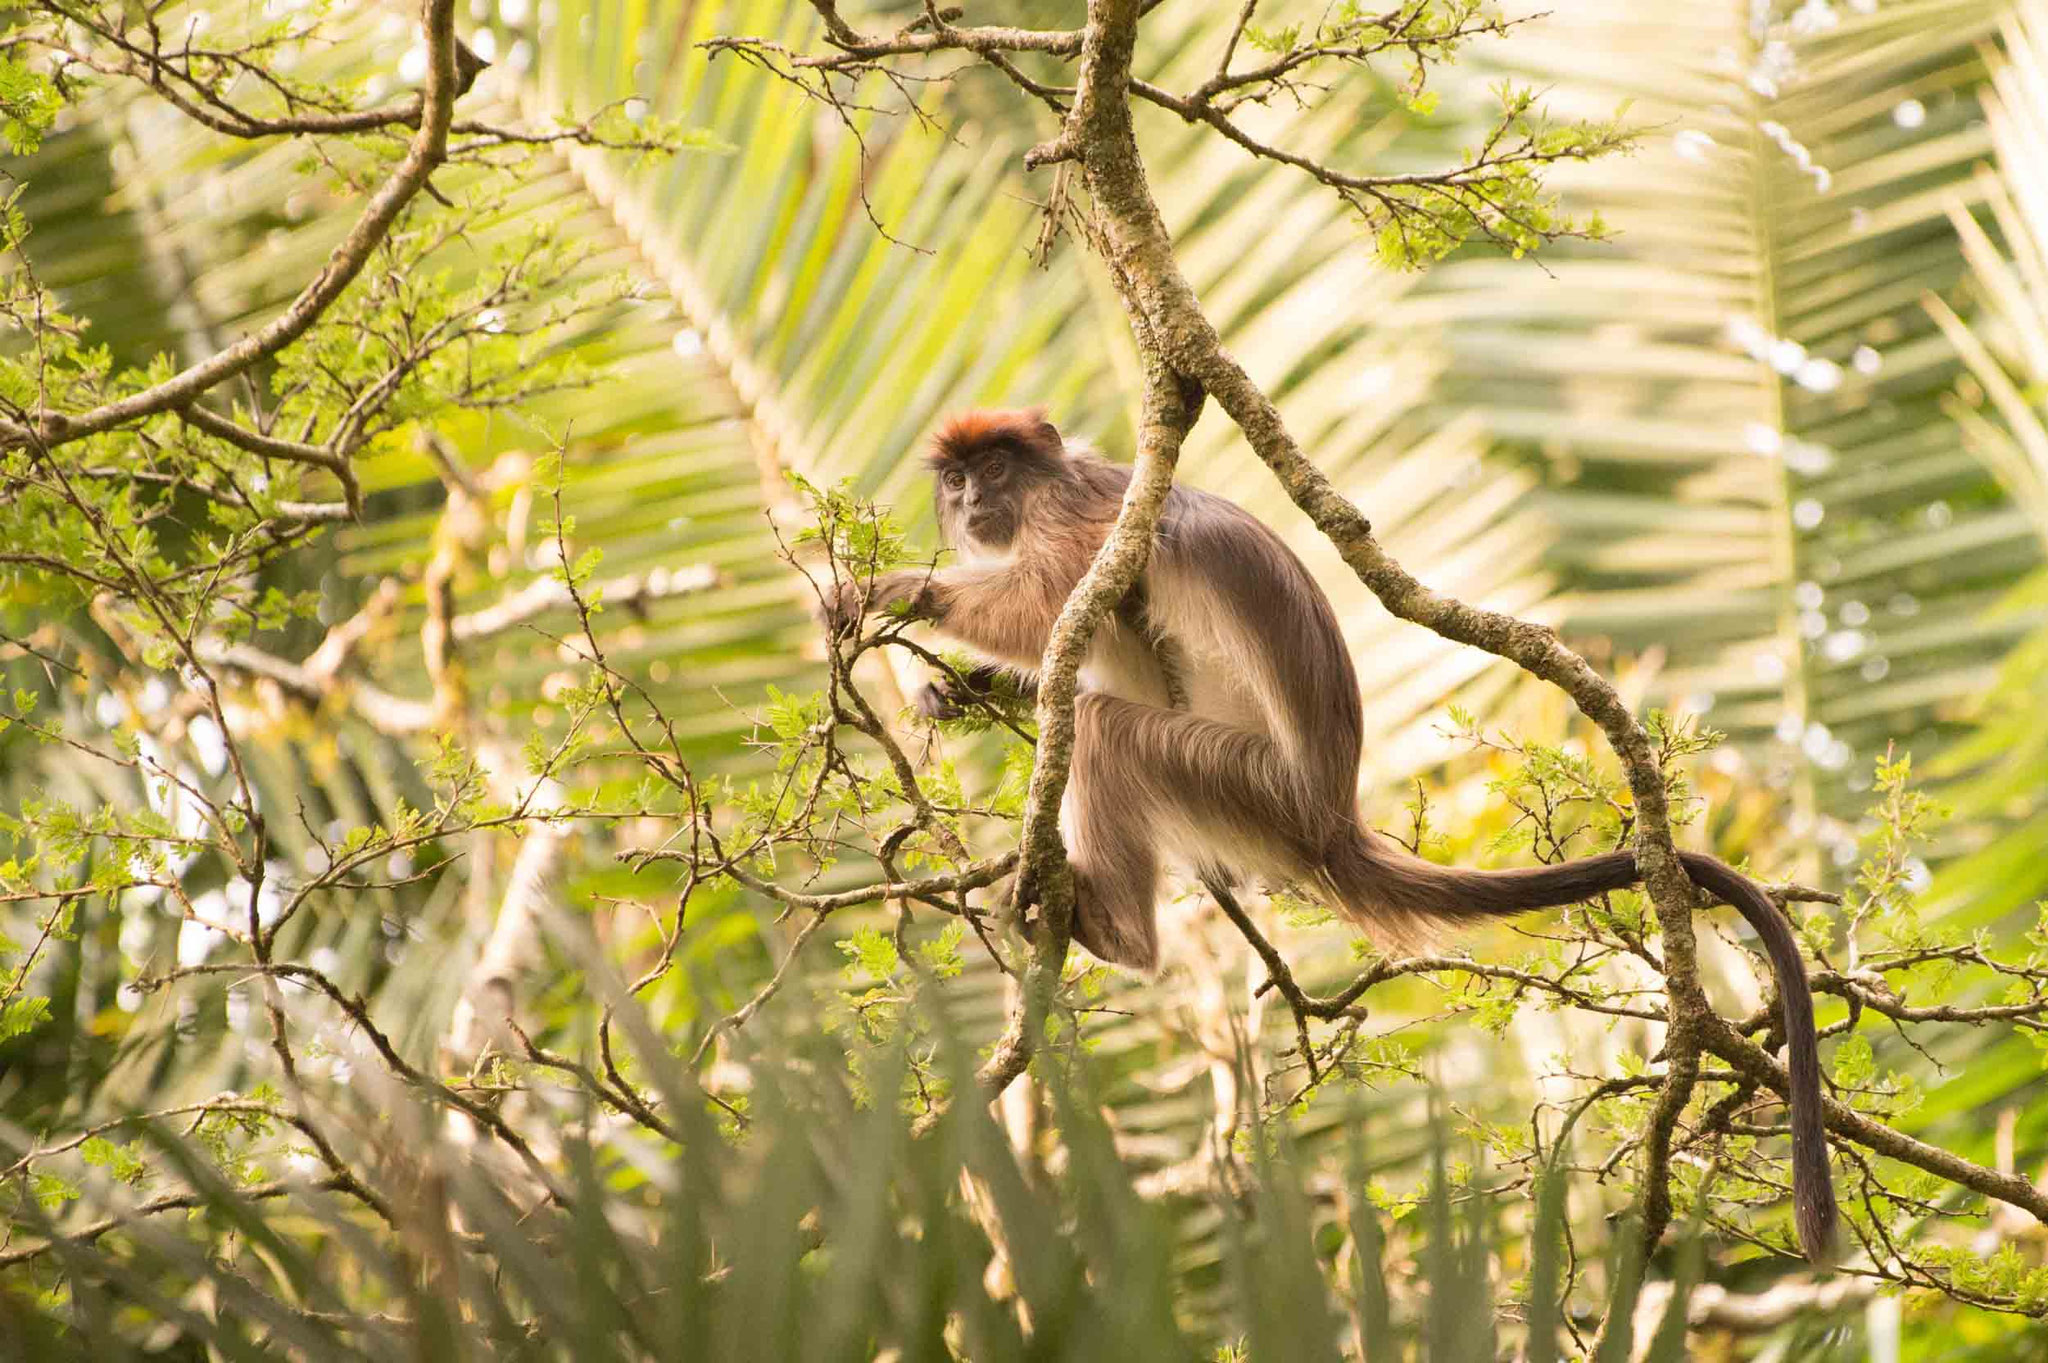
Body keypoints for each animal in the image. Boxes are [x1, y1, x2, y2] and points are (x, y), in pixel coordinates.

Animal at [824, 408, 1836, 1262]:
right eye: (958, 479)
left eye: (994, 468)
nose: (969, 502)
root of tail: (1332, 815)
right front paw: (951, 687)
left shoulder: (1078, 519)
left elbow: (1051, 609)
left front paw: (888, 591)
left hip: (1244, 781)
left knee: (1105, 717)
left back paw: (1116, 929)